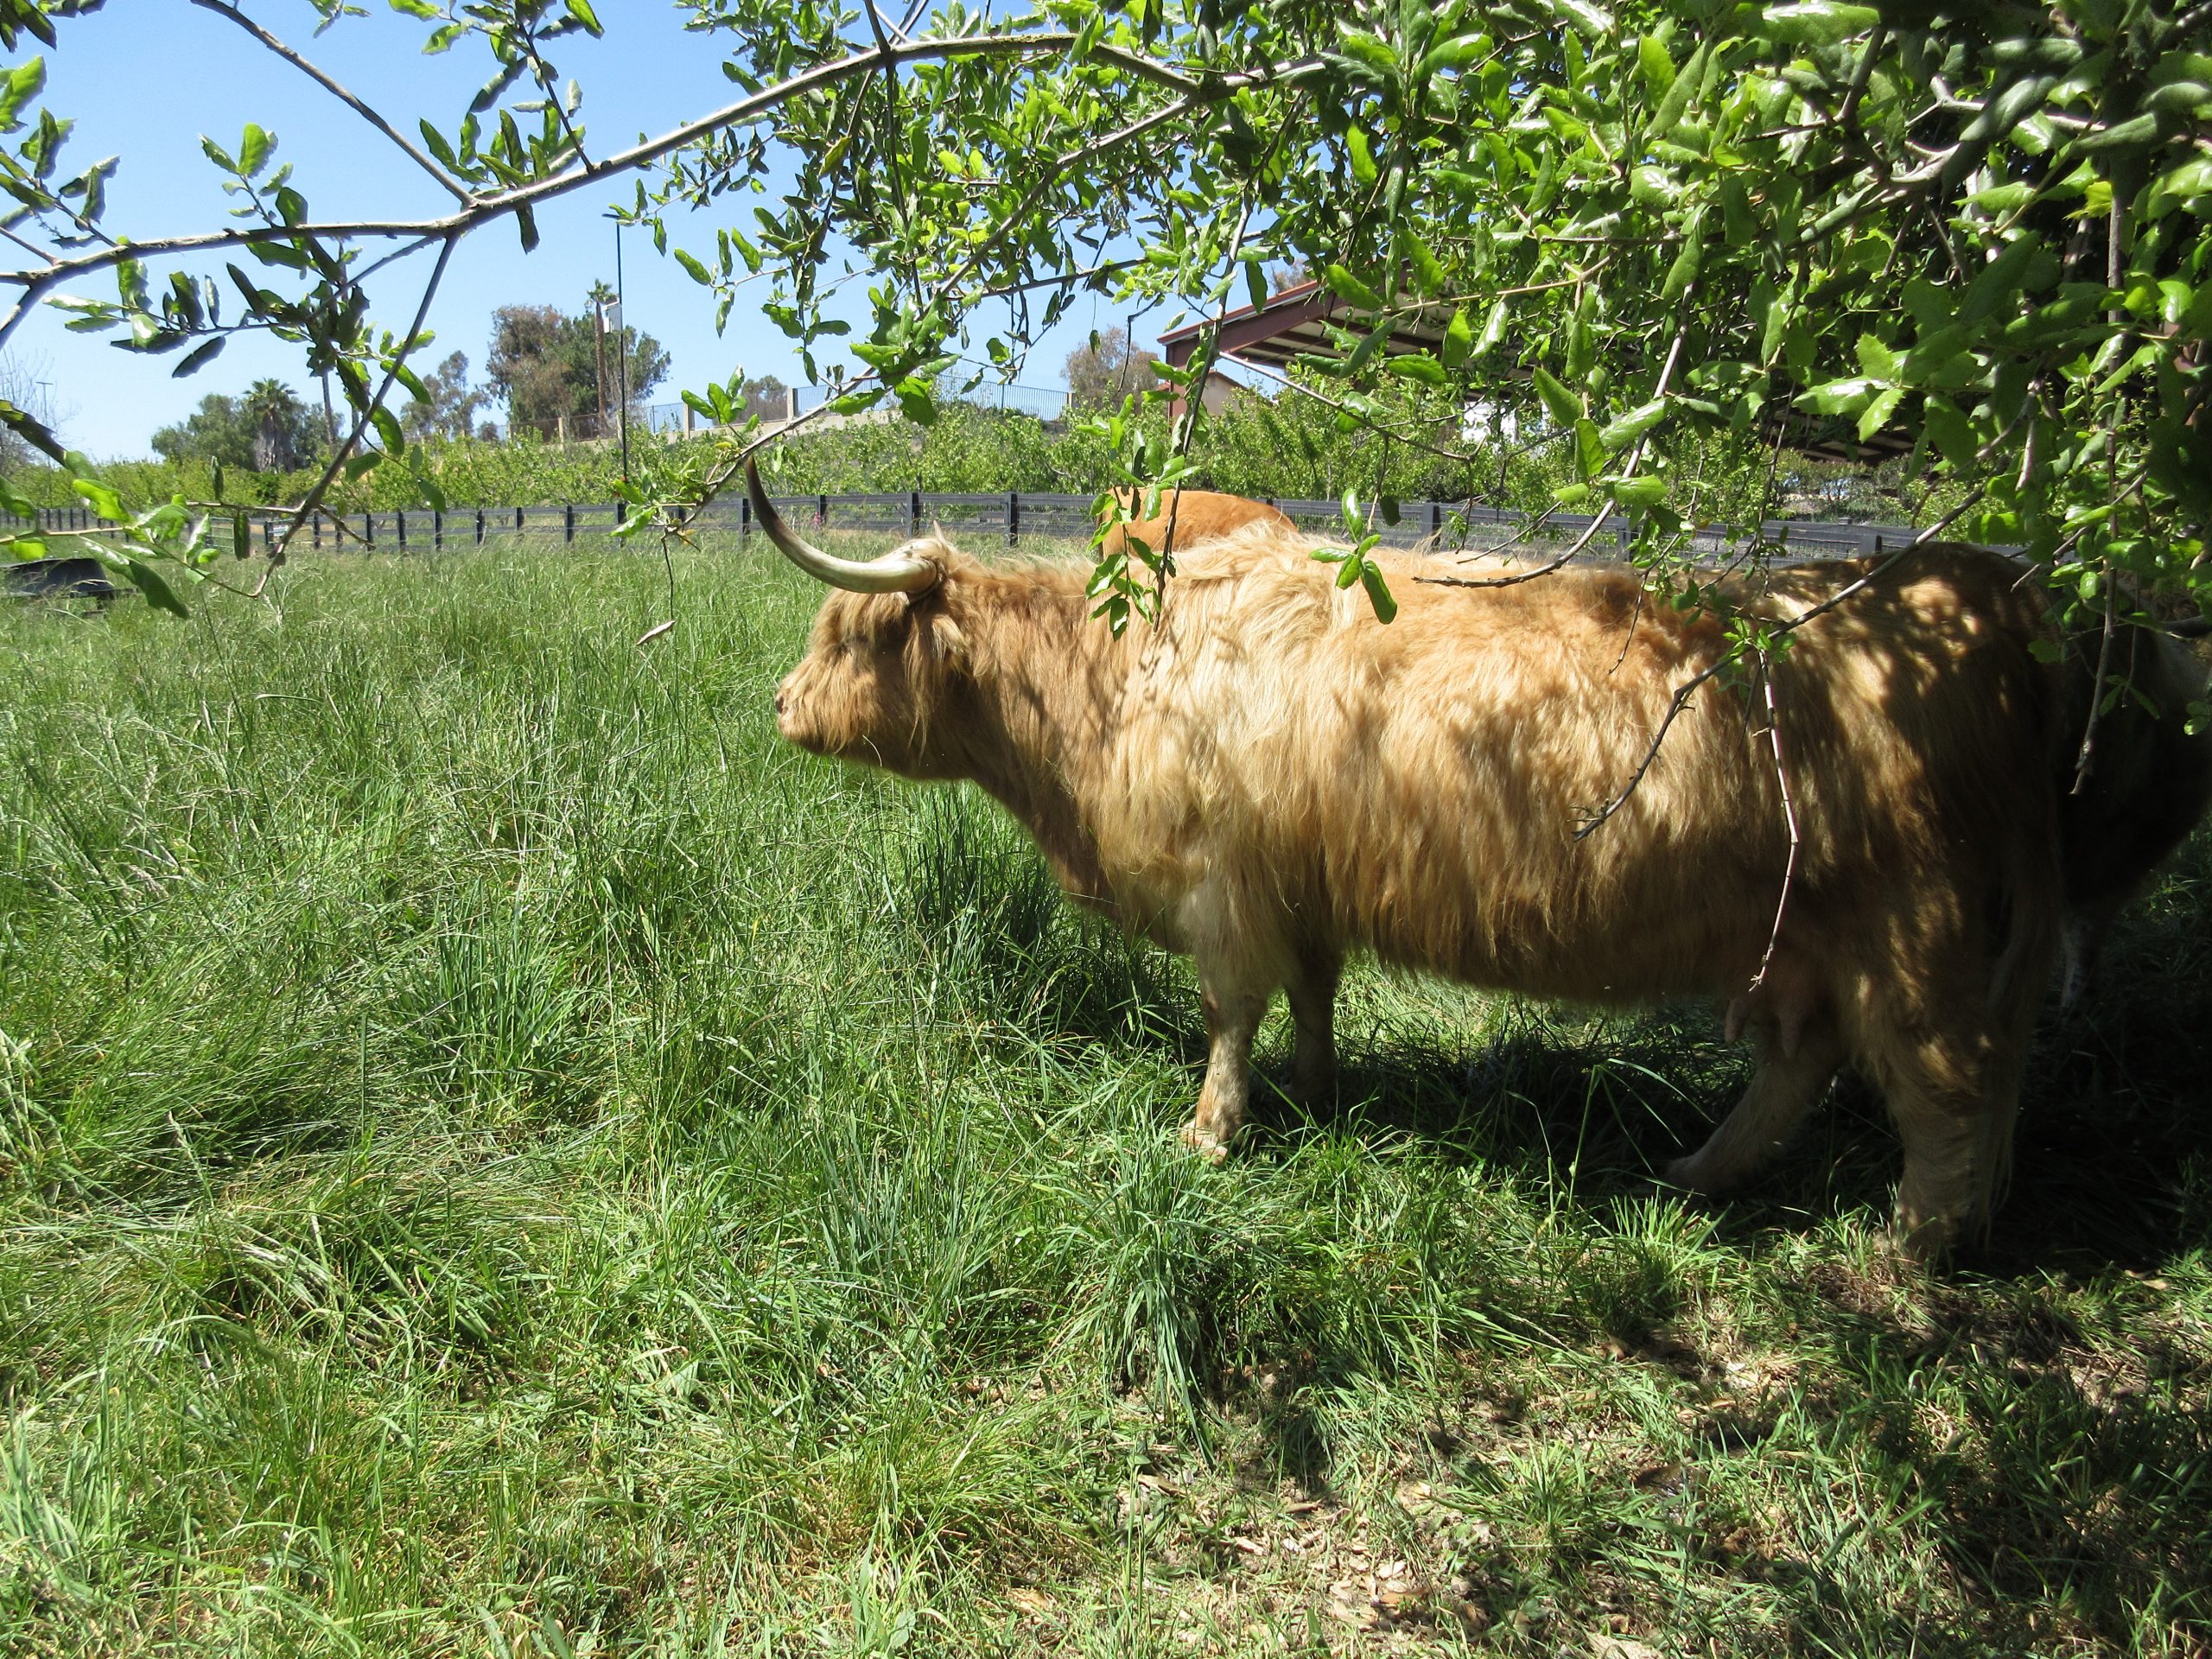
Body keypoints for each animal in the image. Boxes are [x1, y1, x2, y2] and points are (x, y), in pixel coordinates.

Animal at [756, 462, 2212, 1256]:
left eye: (844, 632)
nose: (777, 707)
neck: (1117, 679)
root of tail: (1987, 592)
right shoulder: (1303, 885)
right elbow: (1313, 995)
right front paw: (1319, 1094)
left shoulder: (1225, 886)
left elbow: (1229, 1015)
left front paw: (1210, 1133)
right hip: (1804, 934)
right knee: (1804, 1062)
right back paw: (1698, 1177)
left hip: (1923, 927)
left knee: (1949, 1083)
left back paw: (1917, 1249)